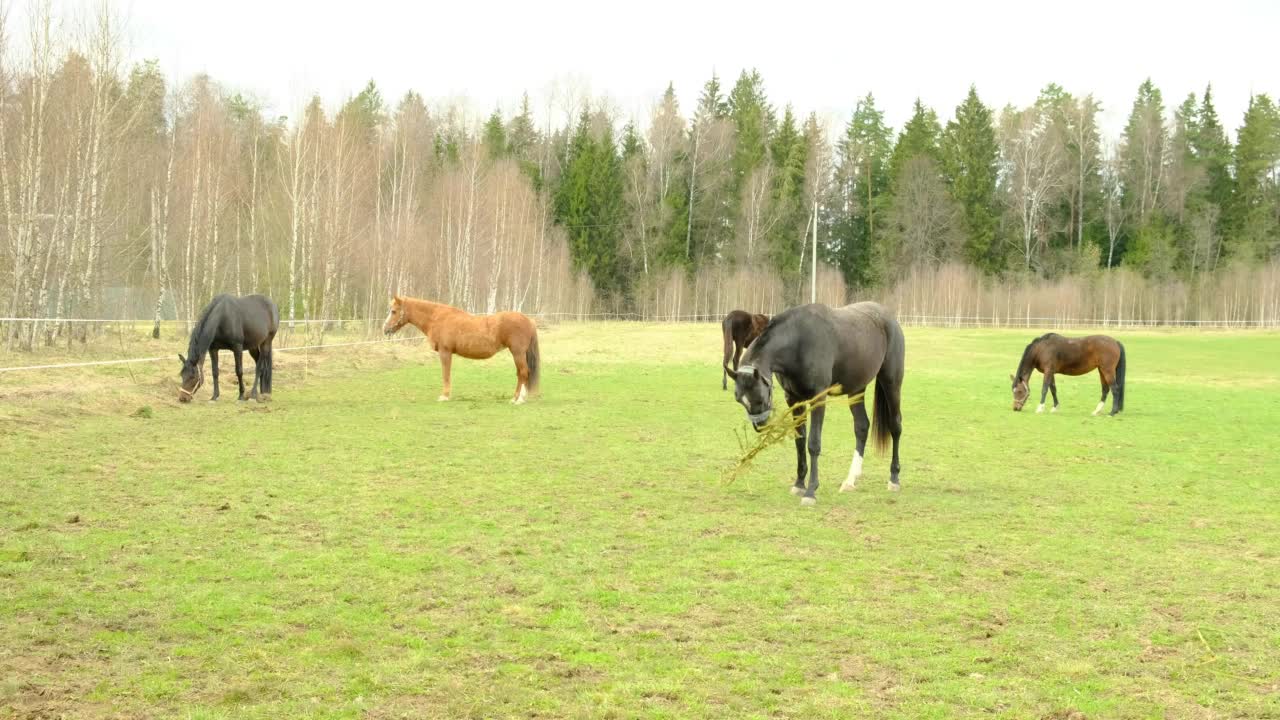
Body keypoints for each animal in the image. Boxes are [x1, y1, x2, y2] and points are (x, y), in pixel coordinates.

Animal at [378, 293, 540, 404]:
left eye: (393, 311)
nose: (385, 329)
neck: (437, 318)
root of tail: (528, 320)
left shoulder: (445, 352)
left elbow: (446, 374)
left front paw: (444, 396)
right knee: (521, 374)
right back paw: (517, 398)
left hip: (517, 353)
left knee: (523, 373)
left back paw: (518, 399)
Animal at [727, 302, 906, 504]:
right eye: (739, 399)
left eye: (760, 397)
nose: (760, 425)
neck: (798, 342)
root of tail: (888, 317)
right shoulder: (793, 399)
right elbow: (800, 440)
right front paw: (799, 483)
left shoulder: (818, 398)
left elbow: (813, 443)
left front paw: (811, 490)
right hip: (856, 389)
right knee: (861, 427)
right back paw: (850, 480)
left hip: (891, 382)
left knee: (895, 426)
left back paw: (894, 478)